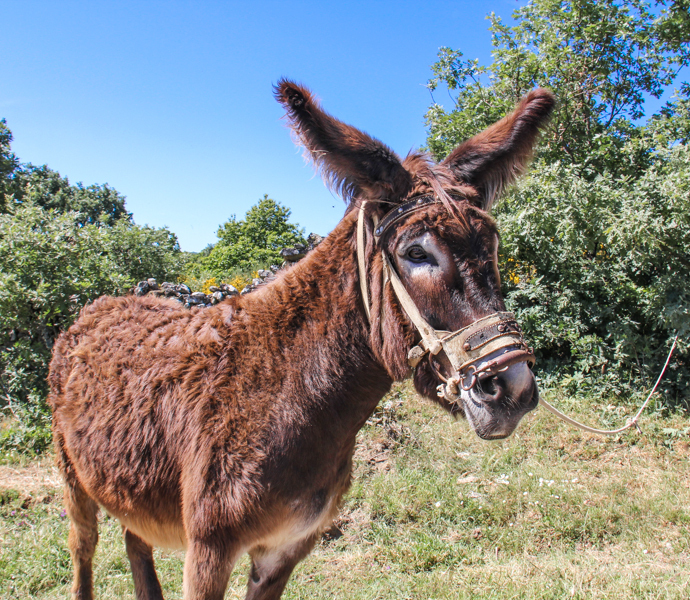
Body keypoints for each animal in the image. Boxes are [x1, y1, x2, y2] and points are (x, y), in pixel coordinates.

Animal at [48, 79, 554, 600]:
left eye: (493, 246)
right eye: (417, 253)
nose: (513, 390)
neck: (291, 393)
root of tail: (100, 304)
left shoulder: (286, 551)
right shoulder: (208, 552)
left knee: (135, 542)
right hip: (72, 476)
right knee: (82, 547)